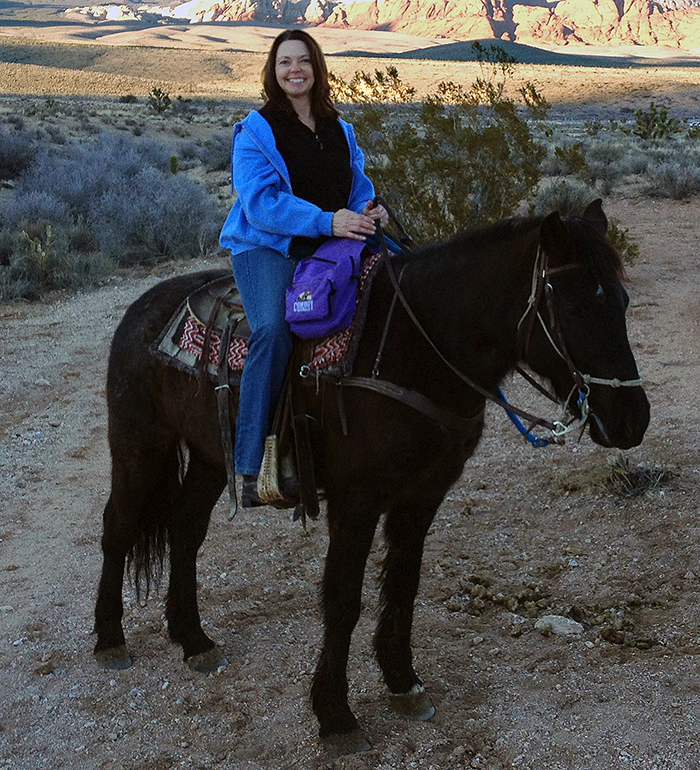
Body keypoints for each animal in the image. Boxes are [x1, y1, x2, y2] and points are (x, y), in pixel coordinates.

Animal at [93, 200, 652, 756]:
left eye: (622, 301)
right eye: (575, 308)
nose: (632, 420)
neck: (416, 351)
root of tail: (142, 307)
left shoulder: (421, 496)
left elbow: (403, 583)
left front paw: (403, 683)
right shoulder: (355, 501)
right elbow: (343, 599)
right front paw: (335, 715)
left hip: (212, 457)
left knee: (185, 527)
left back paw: (193, 639)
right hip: (139, 444)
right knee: (118, 526)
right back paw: (110, 638)